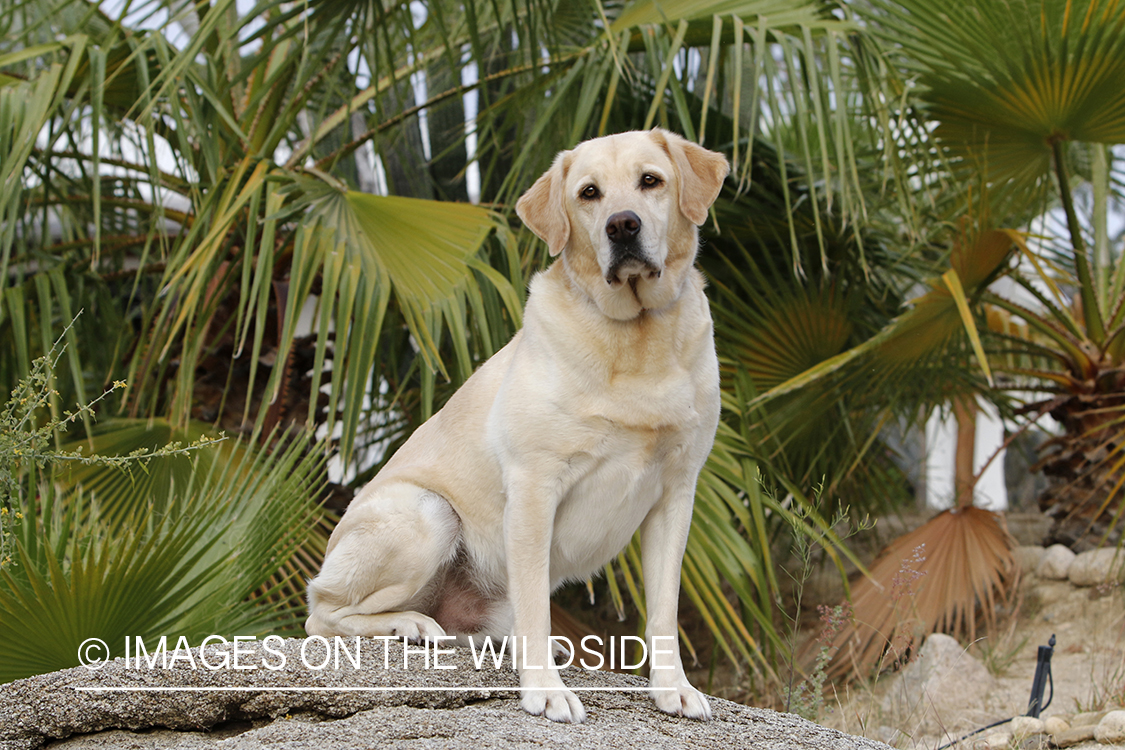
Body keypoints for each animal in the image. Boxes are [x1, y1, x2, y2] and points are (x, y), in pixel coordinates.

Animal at [306, 127, 729, 719]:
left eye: (651, 180)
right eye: (589, 193)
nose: (623, 225)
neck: (636, 339)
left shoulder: (676, 492)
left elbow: (664, 609)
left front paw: (673, 688)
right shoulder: (534, 486)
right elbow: (534, 602)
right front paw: (546, 690)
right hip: (428, 512)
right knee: (322, 612)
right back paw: (410, 623)